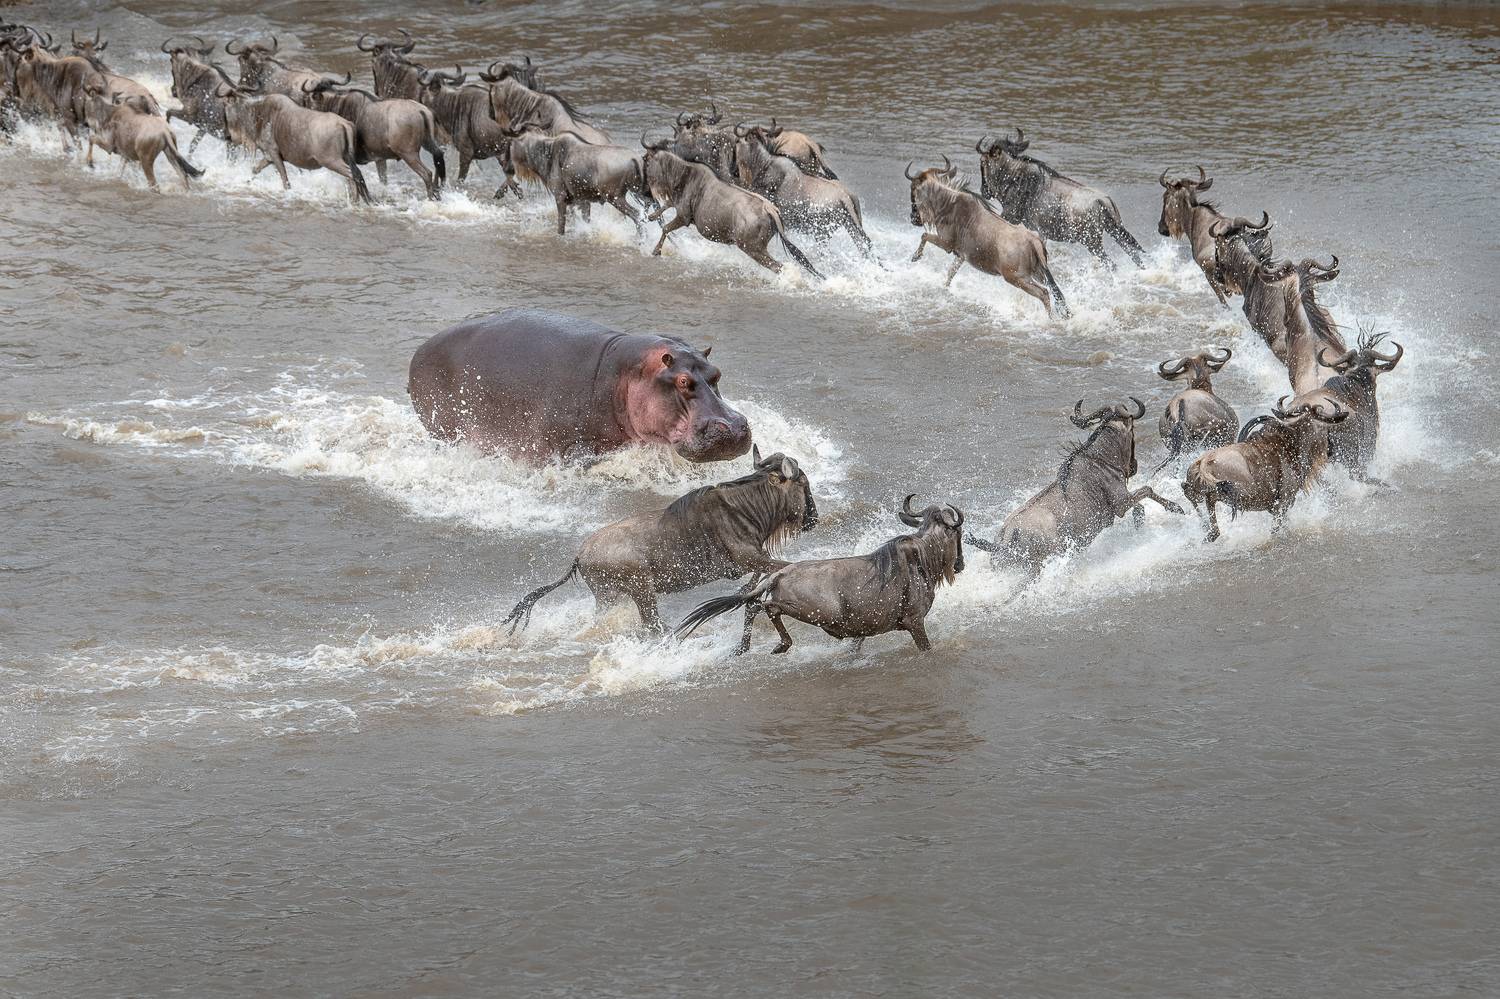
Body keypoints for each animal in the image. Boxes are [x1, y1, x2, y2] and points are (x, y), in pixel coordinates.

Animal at [407, 308, 753, 463]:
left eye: (717, 373)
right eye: (682, 380)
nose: (734, 428)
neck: (626, 372)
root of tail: (419, 350)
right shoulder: (570, 446)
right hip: (444, 429)